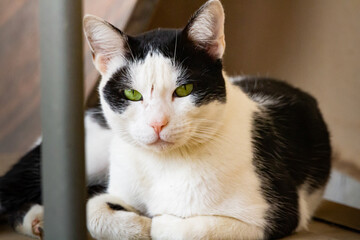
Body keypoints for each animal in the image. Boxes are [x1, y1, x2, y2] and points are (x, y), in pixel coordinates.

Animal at [0, 0, 332, 239]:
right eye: (132, 94)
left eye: (184, 90)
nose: (157, 124)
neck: (164, 166)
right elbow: (95, 210)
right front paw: (136, 224)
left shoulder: (277, 211)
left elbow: (180, 229)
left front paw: (154, 222)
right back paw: (38, 218)